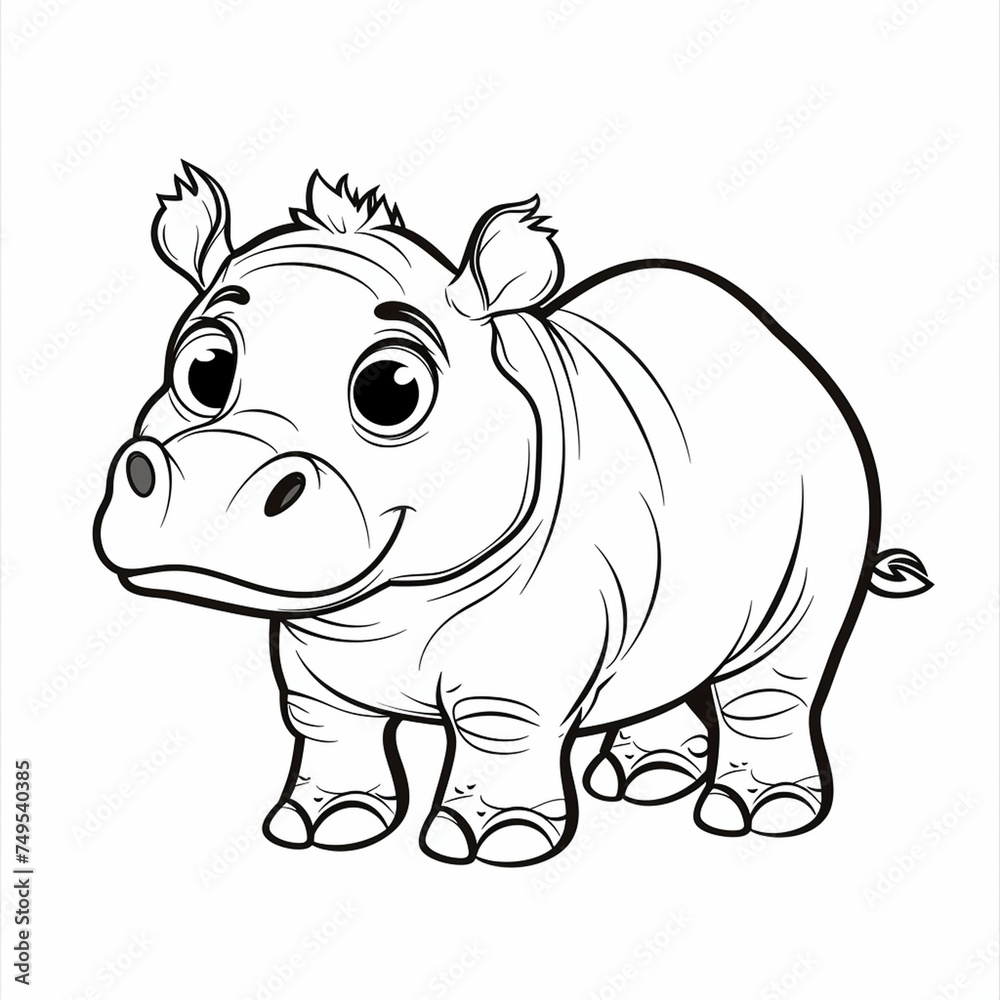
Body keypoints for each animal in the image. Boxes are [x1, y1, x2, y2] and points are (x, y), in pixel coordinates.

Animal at [94, 163, 931, 866]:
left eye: (391, 389)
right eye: (203, 370)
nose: (212, 481)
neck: (383, 607)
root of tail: (785, 348)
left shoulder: (524, 665)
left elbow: (500, 734)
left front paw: (491, 843)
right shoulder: (316, 653)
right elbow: (328, 728)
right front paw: (321, 827)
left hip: (825, 512)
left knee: (777, 679)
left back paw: (756, 817)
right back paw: (646, 780)